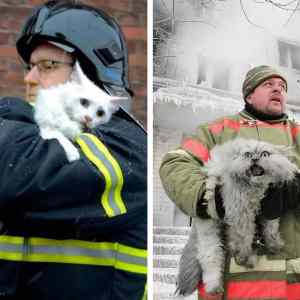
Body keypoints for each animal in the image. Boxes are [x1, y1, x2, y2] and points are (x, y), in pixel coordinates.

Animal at [177, 138, 298, 296]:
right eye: (247, 154)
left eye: (265, 154)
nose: (254, 158)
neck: (255, 190)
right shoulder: (240, 213)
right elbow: (244, 239)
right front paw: (244, 256)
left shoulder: (271, 208)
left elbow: (270, 229)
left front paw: (274, 244)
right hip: (209, 229)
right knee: (209, 256)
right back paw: (214, 286)